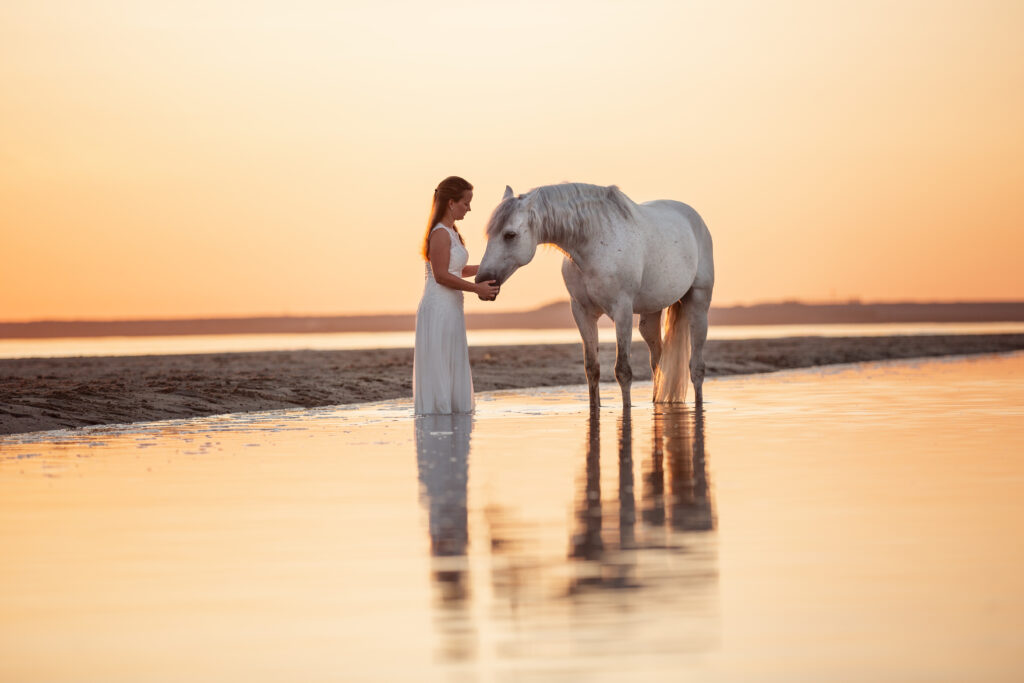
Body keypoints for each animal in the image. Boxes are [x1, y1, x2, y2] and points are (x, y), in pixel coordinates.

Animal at [475, 181, 716, 409]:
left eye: (510, 235)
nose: (482, 280)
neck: (593, 244)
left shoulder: (622, 311)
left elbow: (623, 371)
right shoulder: (582, 313)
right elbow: (592, 368)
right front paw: (595, 409)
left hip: (698, 305)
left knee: (697, 368)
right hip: (651, 314)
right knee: (659, 363)